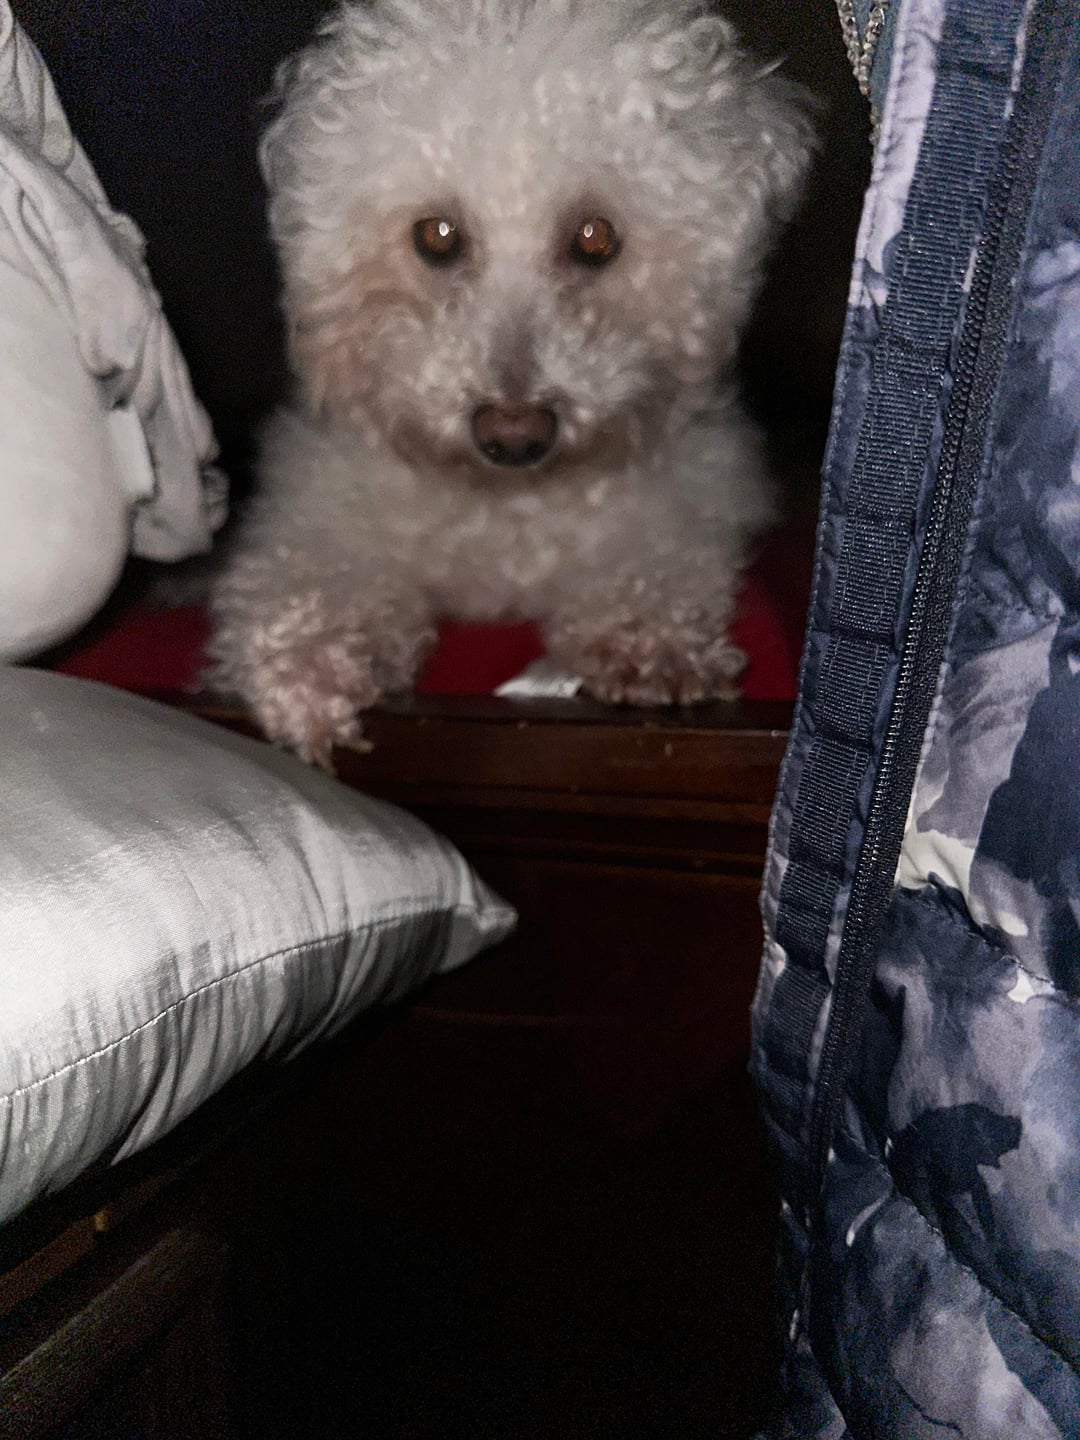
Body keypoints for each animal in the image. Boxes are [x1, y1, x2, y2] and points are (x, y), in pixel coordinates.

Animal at [209, 0, 815, 766]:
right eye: (436, 235)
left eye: (595, 237)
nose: (514, 433)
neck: (505, 509)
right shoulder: (324, 508)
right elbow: (314, 577)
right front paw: (307, 665)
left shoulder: (682, 501)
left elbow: (651, 562)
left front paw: (648, 643)